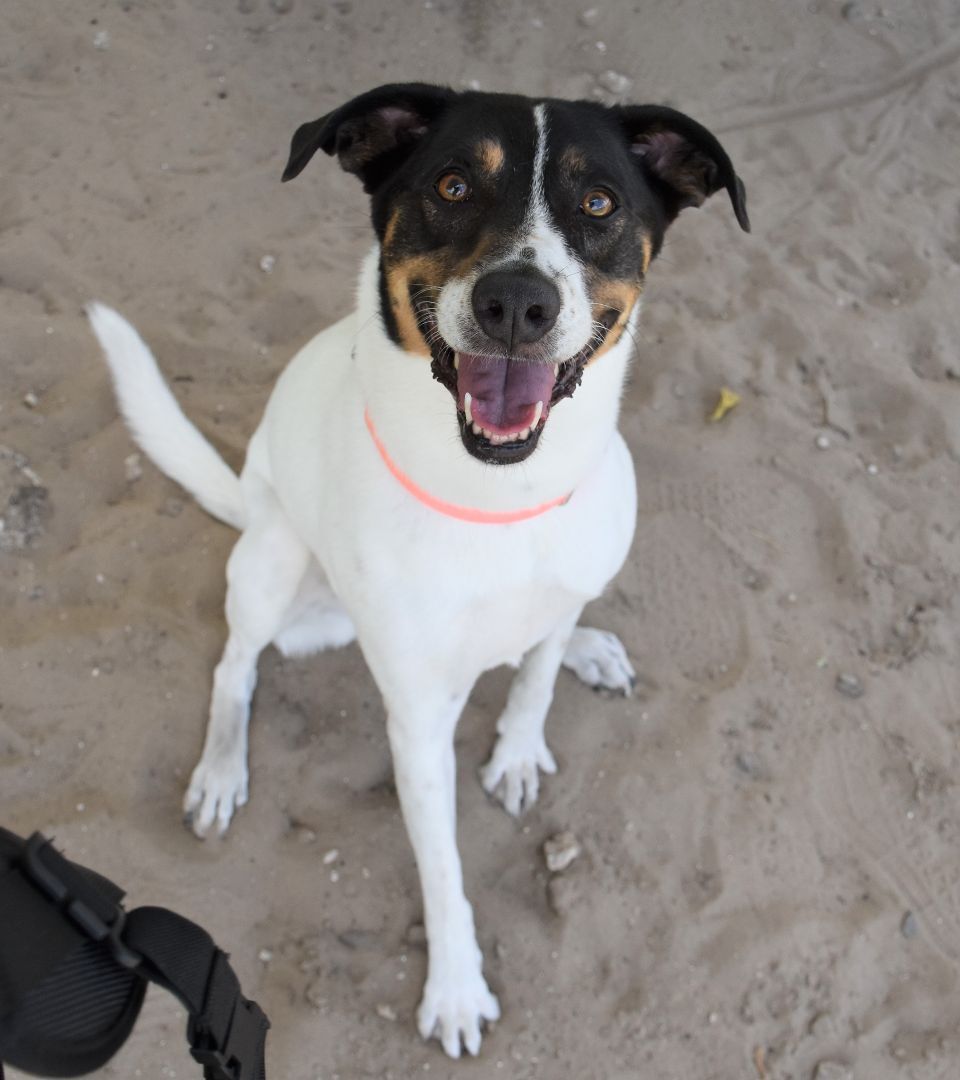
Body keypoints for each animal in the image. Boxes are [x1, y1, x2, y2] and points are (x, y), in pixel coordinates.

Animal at [88, 82, 747, 1054]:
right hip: (273, 560)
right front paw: (457, 988)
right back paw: (219, 771)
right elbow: (443, 869)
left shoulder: (557, 589)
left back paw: (588, 648)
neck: (498, 496)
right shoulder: (418, 724)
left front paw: (522, 739)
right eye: (451, 185)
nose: (518, 302)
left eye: (599, 203)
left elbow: (535, 676)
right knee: (235, 664)